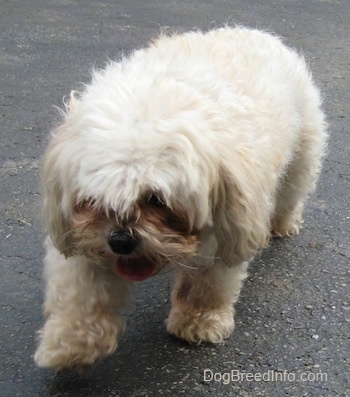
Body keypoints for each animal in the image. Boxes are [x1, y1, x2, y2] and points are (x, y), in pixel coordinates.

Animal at [34, 26, 326, 370]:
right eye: (93, 201)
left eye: (157, 200)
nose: (121, 241)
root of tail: (255, 32)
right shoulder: (82, 235)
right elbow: (81, 291)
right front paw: (71, 342)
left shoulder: (226, 225)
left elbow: (206, 283)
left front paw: (198, 320)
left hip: (302, 157)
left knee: (290, 194)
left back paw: (282, 224)